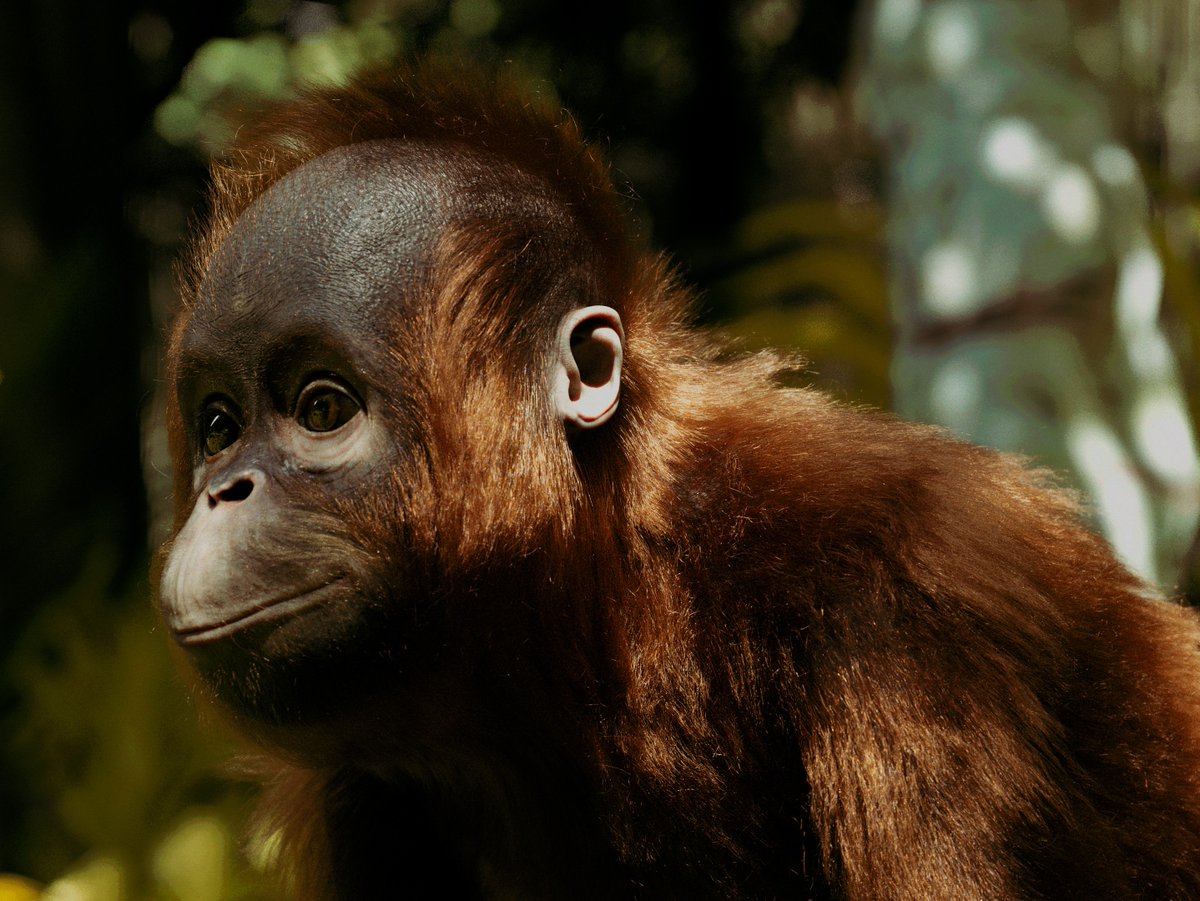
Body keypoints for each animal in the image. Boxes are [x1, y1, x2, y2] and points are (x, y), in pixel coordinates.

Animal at [156, 65, 1200, 900]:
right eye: (218, 427)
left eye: (321, 408)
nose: (225, 490)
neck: (604, 597)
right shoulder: (359, 804)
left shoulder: (917, 616)